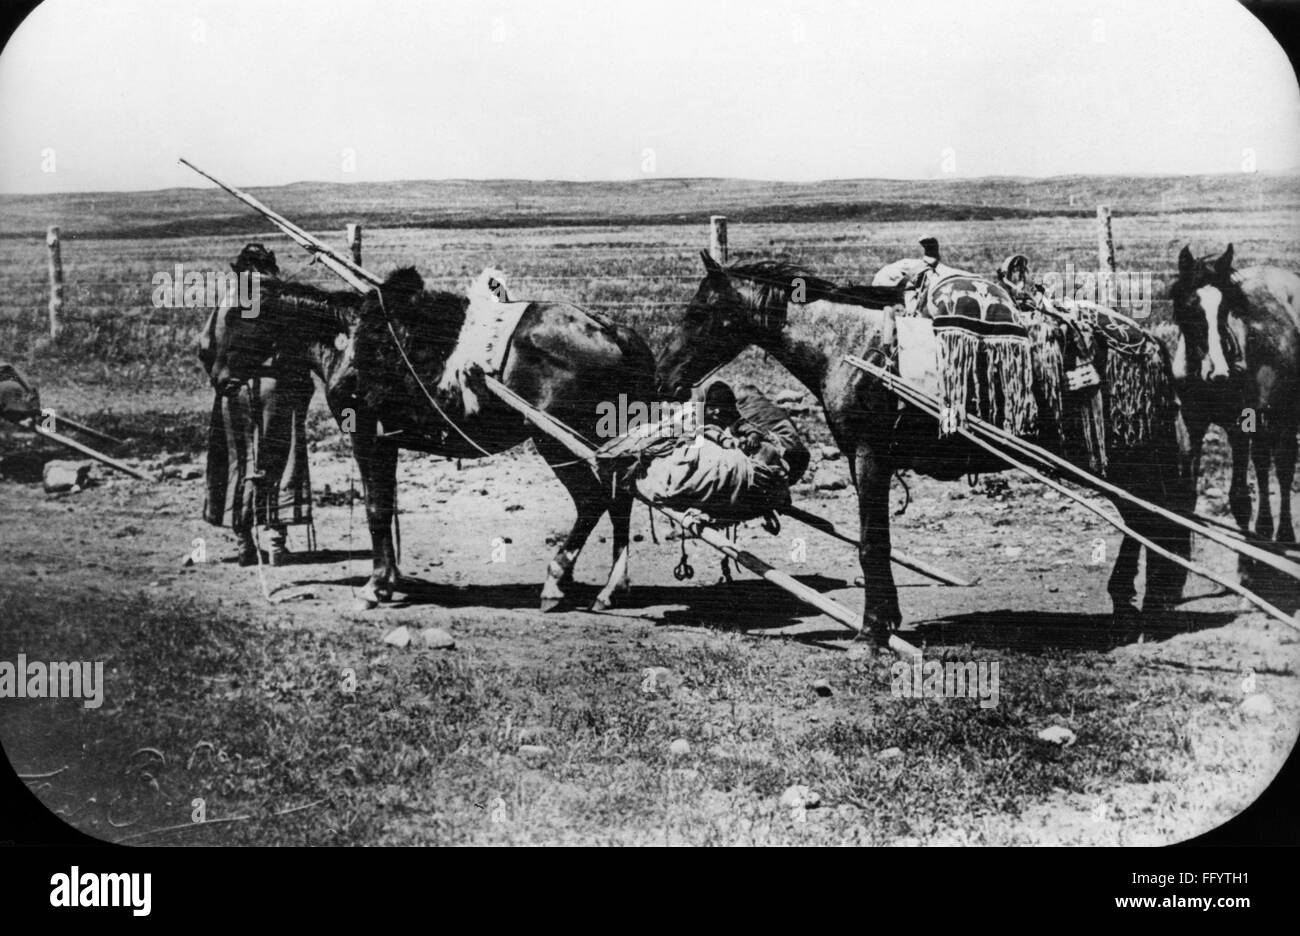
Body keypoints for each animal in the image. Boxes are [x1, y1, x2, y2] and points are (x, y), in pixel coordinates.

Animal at [208, 266, 655, 611]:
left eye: (235, 318)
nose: (218, 377)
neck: (348, 340)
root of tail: (612, 331)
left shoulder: (366, 437)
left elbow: (375, 508)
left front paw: (375, 586)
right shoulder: (387, 442)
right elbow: (386, 506)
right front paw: (390, 579)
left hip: (558, 441)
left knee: (592, 500)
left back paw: (556, 581)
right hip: (601, 444)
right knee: (619, 498)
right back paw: (610, 589)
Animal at [655, 252, 1190, 639]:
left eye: (699, 313)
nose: (664, 380)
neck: (852, 346)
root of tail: (1147, 343)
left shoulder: (869, 456)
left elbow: (871, 543)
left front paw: (873, 628)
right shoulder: (866, 459)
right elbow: (878, 541)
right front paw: (885, 619)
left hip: (1125, 460)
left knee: (1151, 521)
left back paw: (1143, 611)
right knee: (1146, 522)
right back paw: (1135, 606)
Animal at [1175, 244, 1294, 546]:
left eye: (1225, 309)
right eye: (1191, 308)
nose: (1218, 372)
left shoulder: (1239, 426)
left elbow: (1240, 499)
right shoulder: (1192, 421)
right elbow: (1187, 496)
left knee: (1284, 466)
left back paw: (1283, 532)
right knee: (1263, 464)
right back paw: (1265, 527)